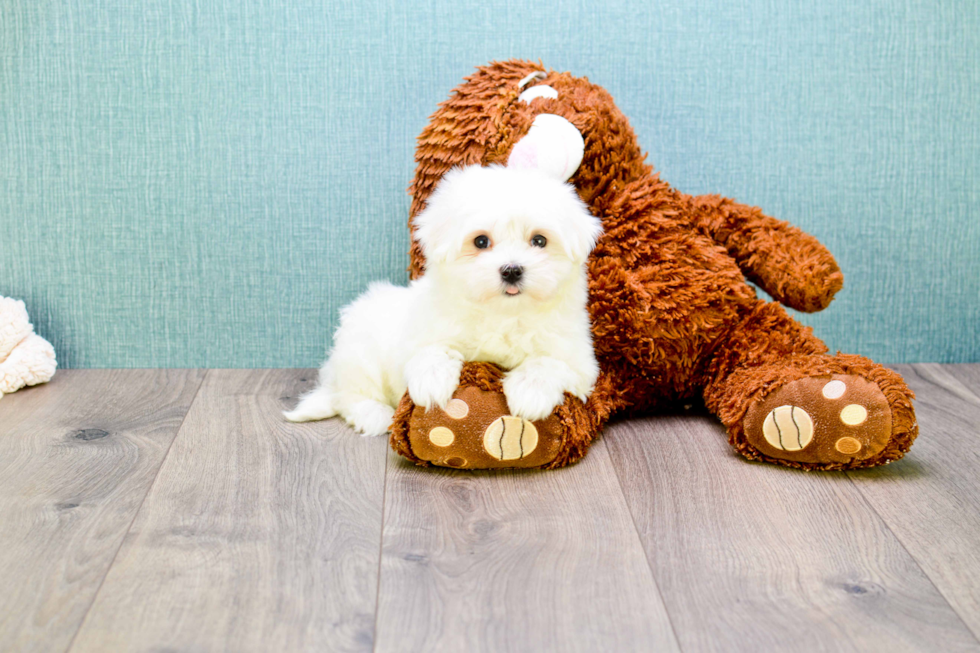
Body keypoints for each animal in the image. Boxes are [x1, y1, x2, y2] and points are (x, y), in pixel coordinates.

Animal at [284, 163, 600, 436]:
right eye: (481, 241)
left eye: (539, 240)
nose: (511, 270)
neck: (503, 314)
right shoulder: (422, 333)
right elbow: (431, 351)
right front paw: (432, 383)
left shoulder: (578, 359)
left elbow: (547, 362)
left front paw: (529, 392)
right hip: (359, 353)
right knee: (350, 396)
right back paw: (376, 415)